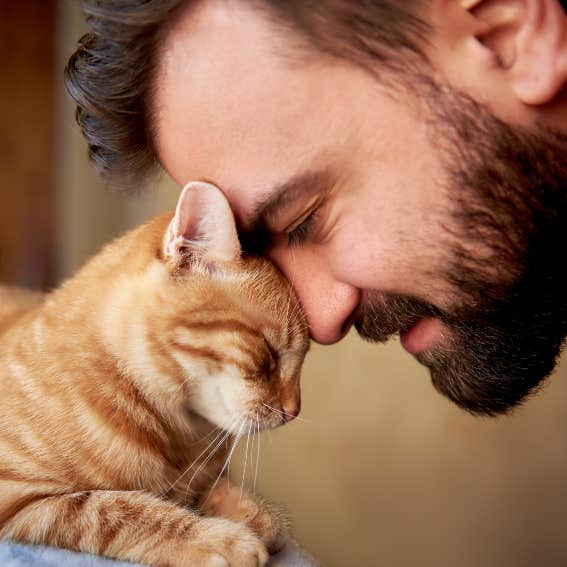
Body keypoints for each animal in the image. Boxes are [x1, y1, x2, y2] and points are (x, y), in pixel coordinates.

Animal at [0, 182, 310, 567]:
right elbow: (116, 509)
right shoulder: (20, 497)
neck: (178, 434)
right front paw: (219, 538)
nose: (294, 411)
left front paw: (252, 512)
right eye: (268, 351)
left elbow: (206, 487)